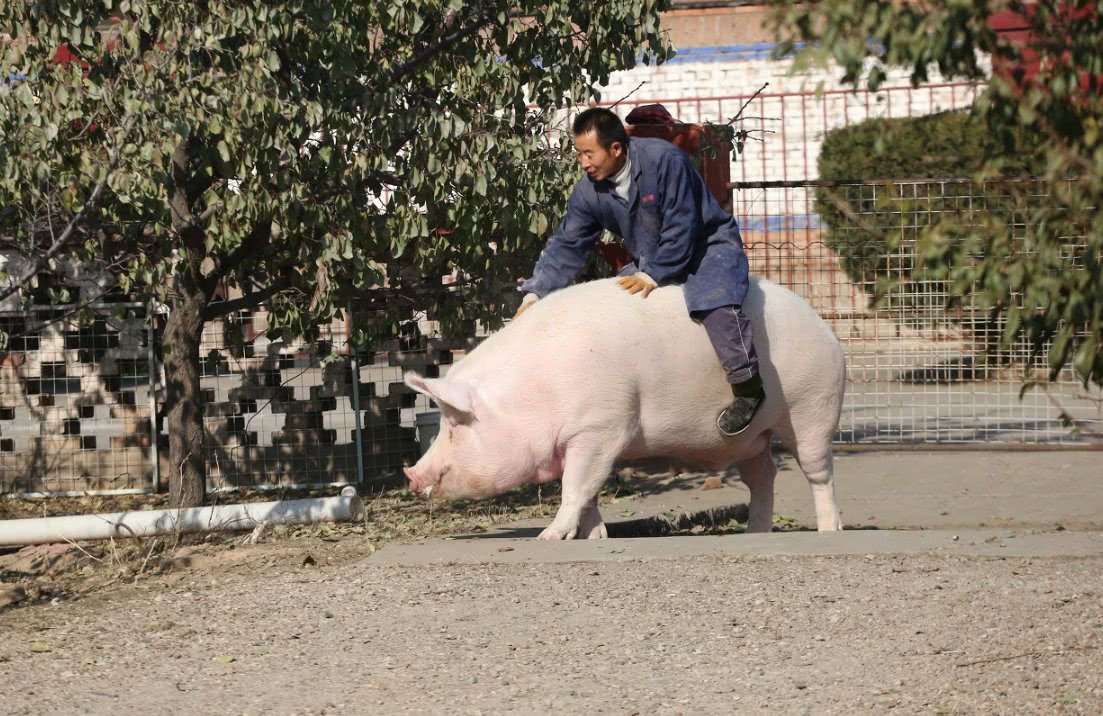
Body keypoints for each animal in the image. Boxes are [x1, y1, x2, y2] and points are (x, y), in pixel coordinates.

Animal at [405, 276, 842, 538]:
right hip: (753, 438)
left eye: (455, 424)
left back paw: (829, 531)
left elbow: (576, 487)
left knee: (819, 474)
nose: (410, 474)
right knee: (763, 476)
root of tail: (827, 330)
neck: (534, 390)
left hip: (812, 409)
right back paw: (754, 533)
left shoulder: (602, 426)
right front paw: (595, 537)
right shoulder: (581, 439)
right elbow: (589, 492)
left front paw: (549, 536)